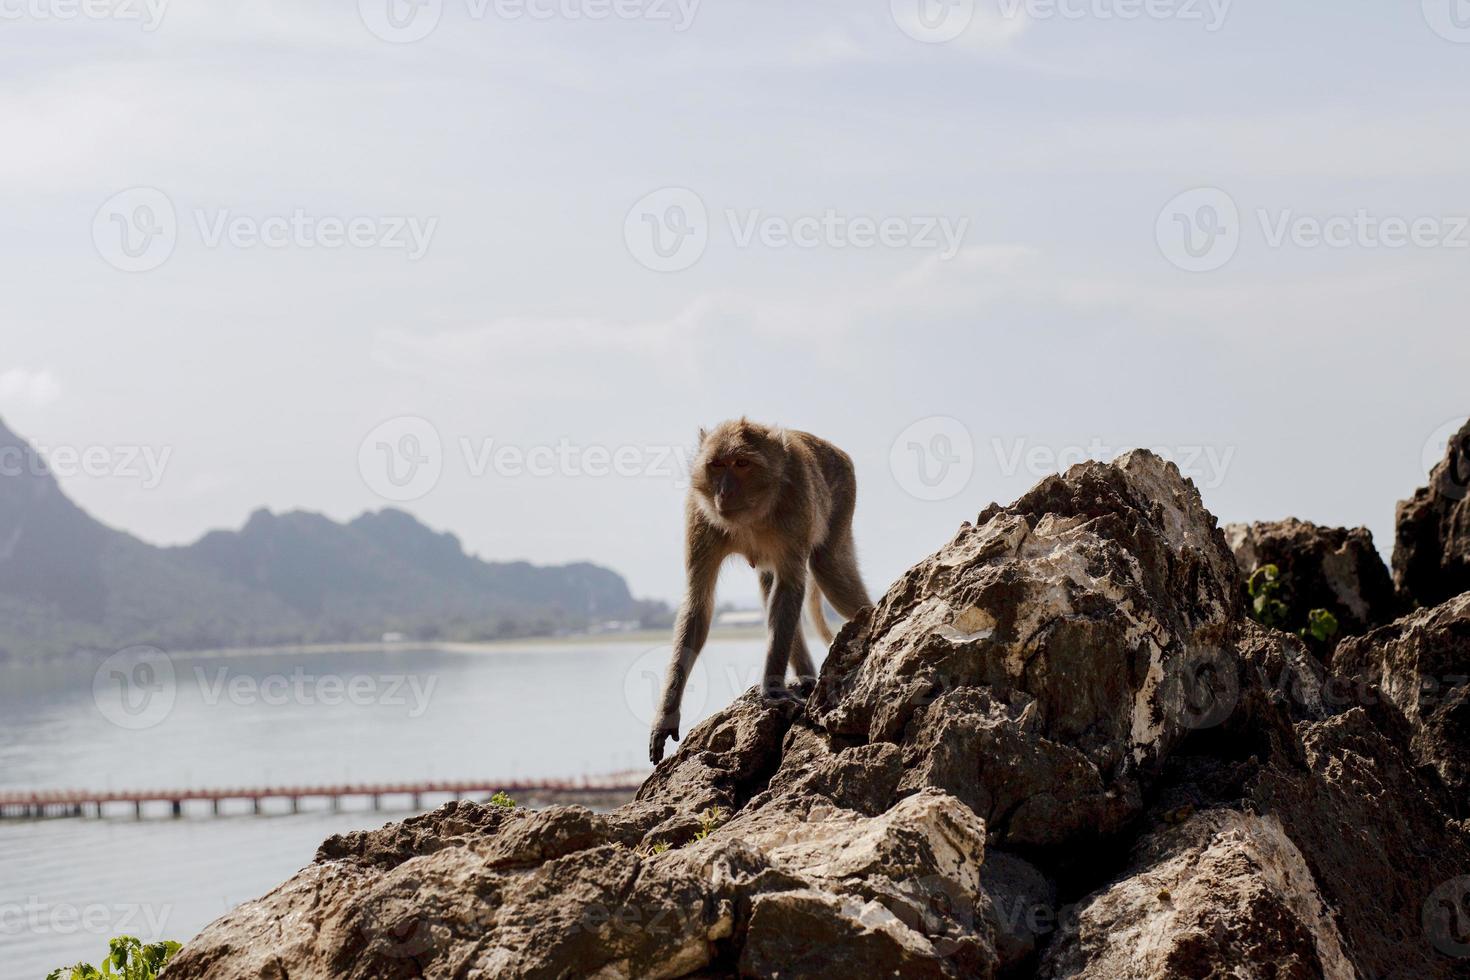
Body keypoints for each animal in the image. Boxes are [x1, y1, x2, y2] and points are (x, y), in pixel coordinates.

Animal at [646, 423, 870, 764]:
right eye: (717, 465)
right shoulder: (700, 515)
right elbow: (698, 602)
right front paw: (666, 713)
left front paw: (773, 690)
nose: (724, 492)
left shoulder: (796, 500)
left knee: (827, 569)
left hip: (844, 497)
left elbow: (790, 584)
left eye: (741, 464)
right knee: (771, 585)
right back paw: (806, 677)